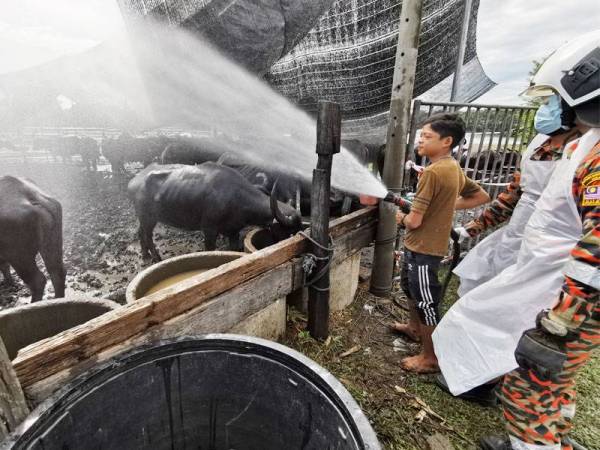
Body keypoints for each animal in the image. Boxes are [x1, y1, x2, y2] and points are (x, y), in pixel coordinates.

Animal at [128, 163, 302, 262]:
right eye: (287, 231)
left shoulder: (234, 232)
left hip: (145, 218)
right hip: (148, 217)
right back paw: (156, 257)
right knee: (147, 235)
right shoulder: (209, 230)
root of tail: (134, 180)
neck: (236, 197)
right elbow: (210, 250)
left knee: (140, 232)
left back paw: (145, 256)